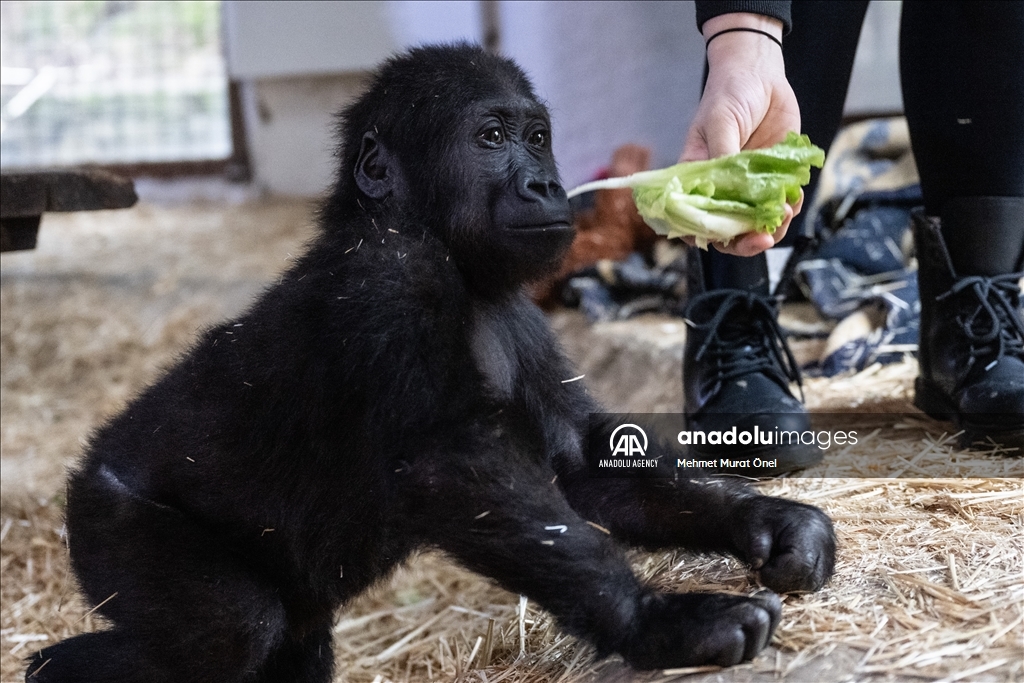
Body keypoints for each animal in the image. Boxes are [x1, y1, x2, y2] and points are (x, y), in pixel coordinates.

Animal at [27, 43, 834, 682]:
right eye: (491, 137)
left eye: (537, 138)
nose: (545, 183)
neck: (431, 236)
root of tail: (86, 473)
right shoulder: (389, 282)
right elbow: (452, 465)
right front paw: (661, 622)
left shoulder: (519, 312)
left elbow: (589, 464)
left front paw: (767, 519)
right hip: (107, 516)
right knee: (229, 629)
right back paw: (50, 667)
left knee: (285, 643)